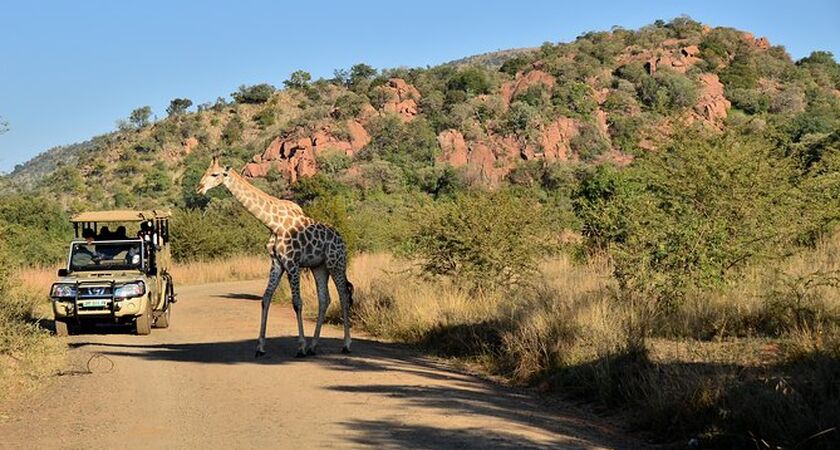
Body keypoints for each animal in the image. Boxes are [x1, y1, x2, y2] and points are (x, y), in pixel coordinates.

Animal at [197, 158, 354, 358]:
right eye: (205, 171)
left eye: (215, 174)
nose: (199, 187)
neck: (273, 224)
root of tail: (342, 240)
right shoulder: (277, 262)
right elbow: (265, 299)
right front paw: (260, 347)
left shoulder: (292, 263)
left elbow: (297, 303)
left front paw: (300, 347)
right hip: (320, 267)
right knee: (325, 299)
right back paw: (314, 346)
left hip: (336, 263)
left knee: (344, 295)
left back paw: (345, 345)